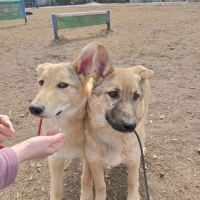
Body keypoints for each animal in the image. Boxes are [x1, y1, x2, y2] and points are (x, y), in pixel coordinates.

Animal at [82, 41, 154, 199]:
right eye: (113, 94)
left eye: (135, 96)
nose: (131, 126)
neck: (114, 136)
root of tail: (135, 68)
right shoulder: (95, 164)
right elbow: (101, 186)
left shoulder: (133, 163)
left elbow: (133, 182)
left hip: (143, 115)